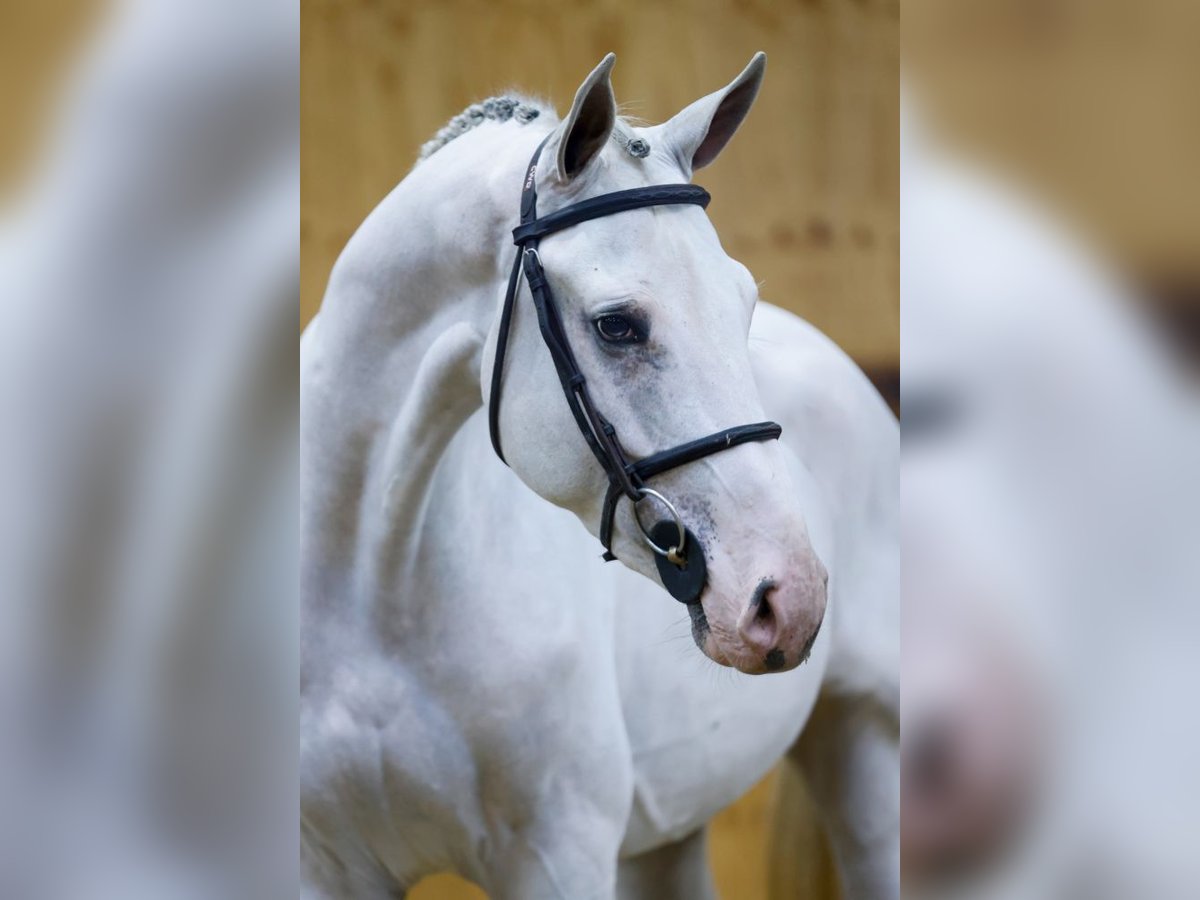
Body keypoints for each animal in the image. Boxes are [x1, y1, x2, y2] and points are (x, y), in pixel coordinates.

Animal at [304, 52, 897, 897]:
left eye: (742, 302)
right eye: (617, 325)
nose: (788, 598)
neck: (374, 597)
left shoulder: (558, 857)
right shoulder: (326, 867)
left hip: (868, 742)